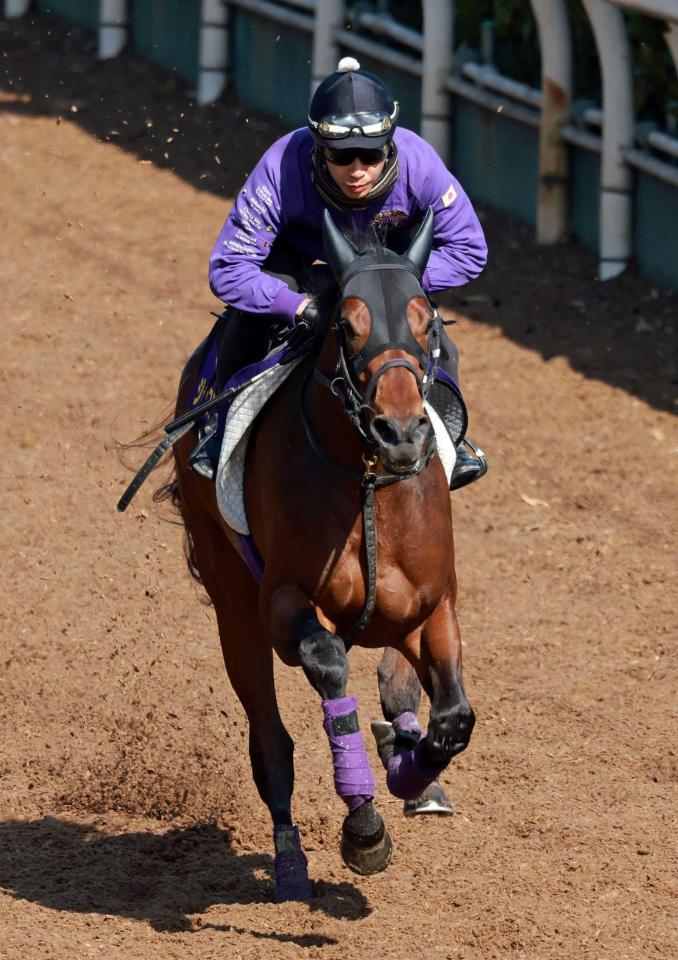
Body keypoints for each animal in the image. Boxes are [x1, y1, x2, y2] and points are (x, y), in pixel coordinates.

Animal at [170, 208, 478, 900]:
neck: (369, 490)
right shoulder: (283, 604)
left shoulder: (432, 607)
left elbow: (453, 717)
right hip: (233, 606)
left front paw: (410, 769)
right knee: (270, 743)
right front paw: (364, 830)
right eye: (347, 325)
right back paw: (289, 863)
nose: (400, 432)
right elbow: (329, 663)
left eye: (428, 323)